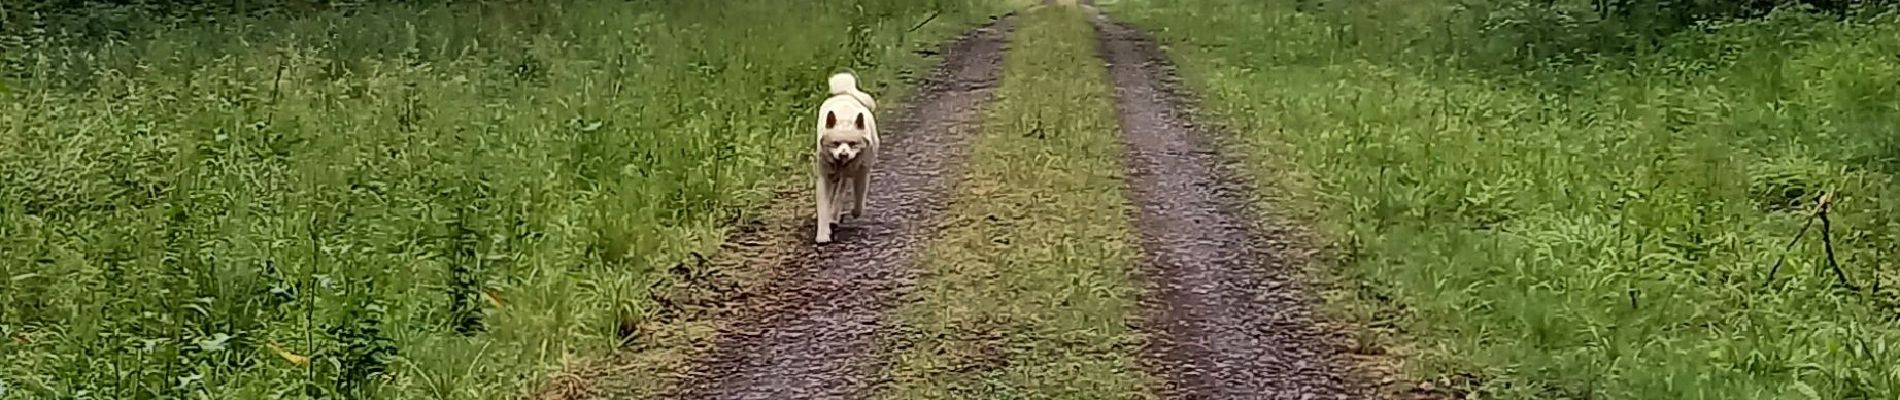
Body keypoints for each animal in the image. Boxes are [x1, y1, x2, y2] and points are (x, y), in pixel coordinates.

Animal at [813, 72, 877, 244]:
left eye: (853, 144)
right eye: (835, 144)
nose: (843, 154)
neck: (844, 121)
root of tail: (845, 93)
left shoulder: (862, 172)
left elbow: (859, 197)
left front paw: (855, 212)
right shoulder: (824, 176)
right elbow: (823, 206)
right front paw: (823, 234)